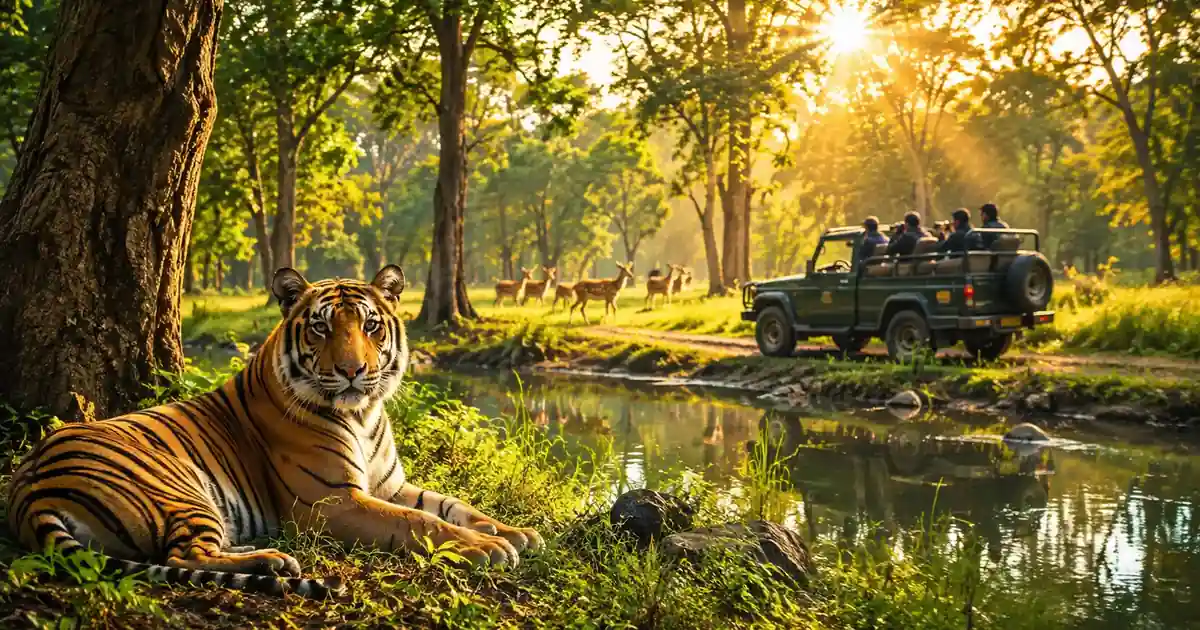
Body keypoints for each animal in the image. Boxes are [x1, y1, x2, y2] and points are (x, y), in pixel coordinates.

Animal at [6, 265, 542, 599]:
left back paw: (269, 558)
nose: (353, 371)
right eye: (322, 328)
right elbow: (420, 523)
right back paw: (272, 560)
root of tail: (27, 489)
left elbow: (452, 505)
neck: (365, 415)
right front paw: (488, 548)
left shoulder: (389, 485)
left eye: (371, 325)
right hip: (177, 488)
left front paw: (515, 532)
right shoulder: (334, 503)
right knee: (183, 555)